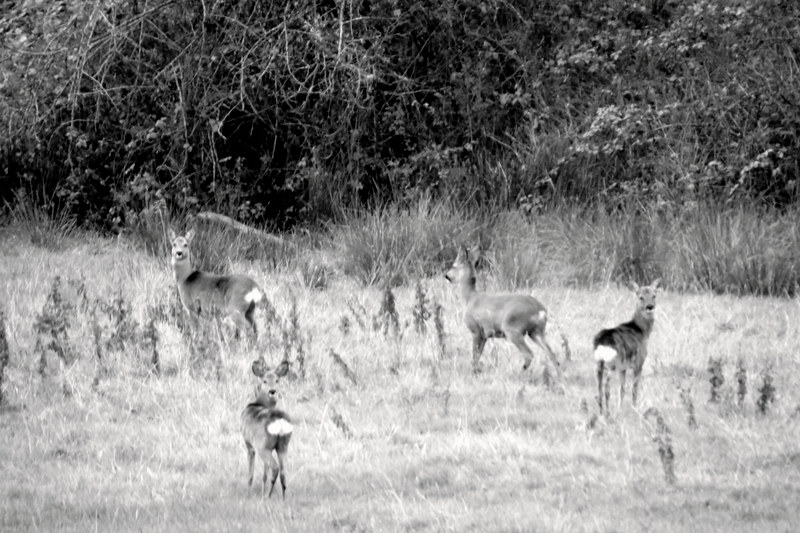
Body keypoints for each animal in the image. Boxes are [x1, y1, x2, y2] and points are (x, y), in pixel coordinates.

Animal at [444, 243, 564, 376]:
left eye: (453, 265)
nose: (446, 275)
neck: (469, 298)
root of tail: (540, 310)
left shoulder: (475, 329)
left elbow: (475, 354)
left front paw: (474, 372)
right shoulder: (485, 334)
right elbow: (478, 354)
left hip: (513, 329)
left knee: (529, 354)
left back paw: (519, 373)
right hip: (536, 331)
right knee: (551, 352)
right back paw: (560, 376)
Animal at [592, 278, 664, 416]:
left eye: (654, 296)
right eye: (641, 297)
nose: (650, 307)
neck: (641, 330)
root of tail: (602, 342)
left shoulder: (623, 368)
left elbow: (622, 389)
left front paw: (620, 408)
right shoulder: (639, 363)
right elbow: (634, 388)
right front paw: (634, 408)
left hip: (598, 363)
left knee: (599, 388)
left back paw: (601, 412)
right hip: (611, 364)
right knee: (606, 387)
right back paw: (607, 413)